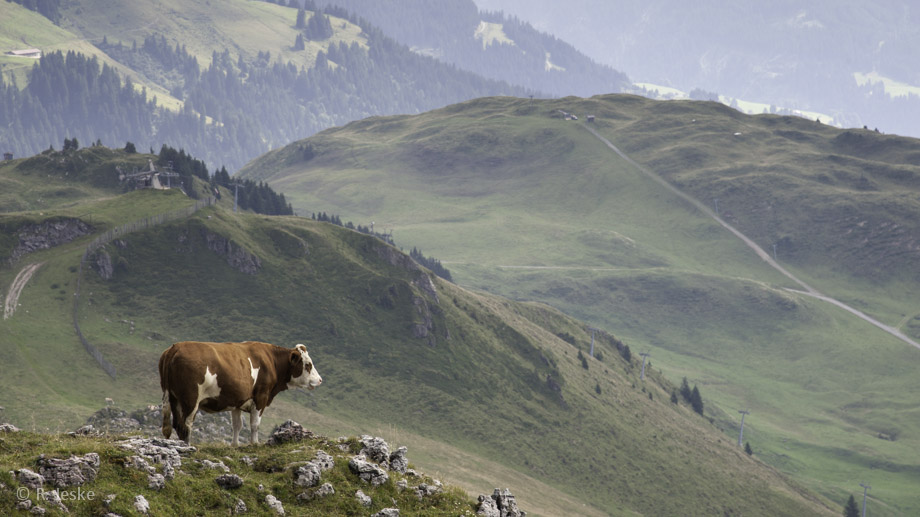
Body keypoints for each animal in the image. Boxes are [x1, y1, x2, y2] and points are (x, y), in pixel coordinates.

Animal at [155, 340, 320, 446]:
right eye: (308, 364)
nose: (320, 380)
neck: (271, 361)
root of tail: (175, 347)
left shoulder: (237, 401)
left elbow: (237, 425)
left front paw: (235, 445)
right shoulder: (261, 396)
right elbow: (255, 424)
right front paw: (255, 443)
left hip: (172, 397)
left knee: (175, 424)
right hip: (190, 399)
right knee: (186, 425)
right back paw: (187, 446)